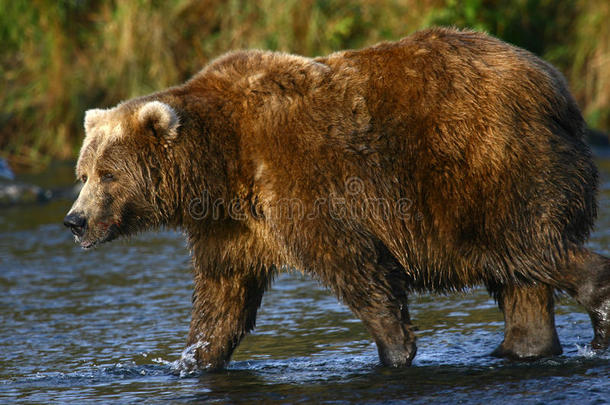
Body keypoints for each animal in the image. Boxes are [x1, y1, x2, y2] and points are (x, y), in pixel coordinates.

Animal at [64, 27, 604, 370]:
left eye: (108, 174)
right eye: (82, 173)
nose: (75, 220)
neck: (221, 166)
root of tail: (557, 86)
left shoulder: (298, 176)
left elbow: (352, 262)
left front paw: (394, 349)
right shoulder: (231, 223)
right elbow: (223, 296)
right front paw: (191, 360)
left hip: (489, 168)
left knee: (526, 247)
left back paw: (596, 319)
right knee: (518, 276)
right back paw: (521, 347)